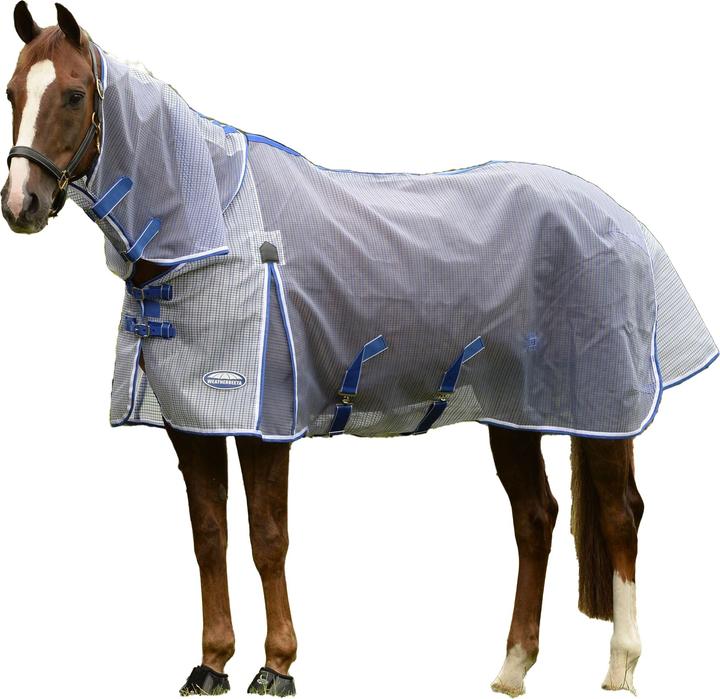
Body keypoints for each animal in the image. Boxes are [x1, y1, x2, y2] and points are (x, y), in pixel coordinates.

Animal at [2, 3, 717, 697]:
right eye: (12, 91)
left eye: (73, 94)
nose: (21, 204)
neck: (214, 230)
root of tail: (622, 222)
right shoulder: (192, 423)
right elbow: (210, 536)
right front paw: (211, 665)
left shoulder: (267, 425)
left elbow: (267, 538)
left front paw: (277, 667)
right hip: (517, 413)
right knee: (536, 518)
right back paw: (513, 669)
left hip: (600, 409)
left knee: (621, 517)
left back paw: (621, 667)